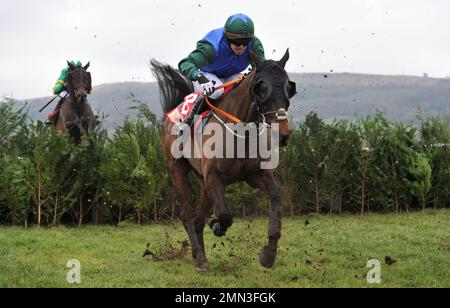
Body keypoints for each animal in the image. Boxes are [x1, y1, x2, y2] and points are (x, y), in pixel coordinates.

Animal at [152, 50, 298, 270]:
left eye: (289, 87)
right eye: (262, 88)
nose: (282, 135)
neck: (240, 132)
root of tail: (172, 112)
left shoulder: (255, 175)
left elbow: (276, 195)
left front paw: (269, 253)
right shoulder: (214, 176)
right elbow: (225, 215)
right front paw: (217, 225)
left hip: (203, 182)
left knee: (197, 220)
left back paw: (199, 254)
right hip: (176, 169)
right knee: (187, 216)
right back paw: (200, 258)